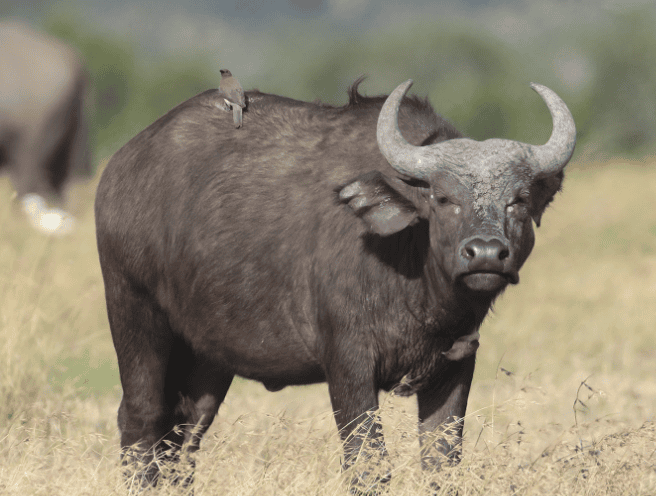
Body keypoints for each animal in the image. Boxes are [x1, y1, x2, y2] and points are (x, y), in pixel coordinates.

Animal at [96, 75, 576, 490]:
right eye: (443, 199)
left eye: (518, 200)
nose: (486, 254)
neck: (411, 274)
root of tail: (119, 170)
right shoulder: (348, 364)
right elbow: (368, 463)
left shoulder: (456, 364)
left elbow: (442, 464)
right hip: (134, 314)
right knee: (141, 419)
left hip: (207, 356)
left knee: (184, 432)